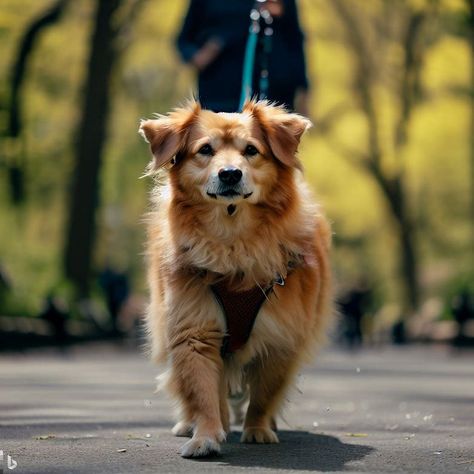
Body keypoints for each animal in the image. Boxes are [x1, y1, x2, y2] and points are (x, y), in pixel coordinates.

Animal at [139, 99, 334, 456]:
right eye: (205, 150)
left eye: (251, 150)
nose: (230, 173)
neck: (232, 243)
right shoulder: (194, 329)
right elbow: (202, 390)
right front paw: (205, 435)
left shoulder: (281, 338)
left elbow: (264, 394)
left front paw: (257, 429)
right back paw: (193, 424)